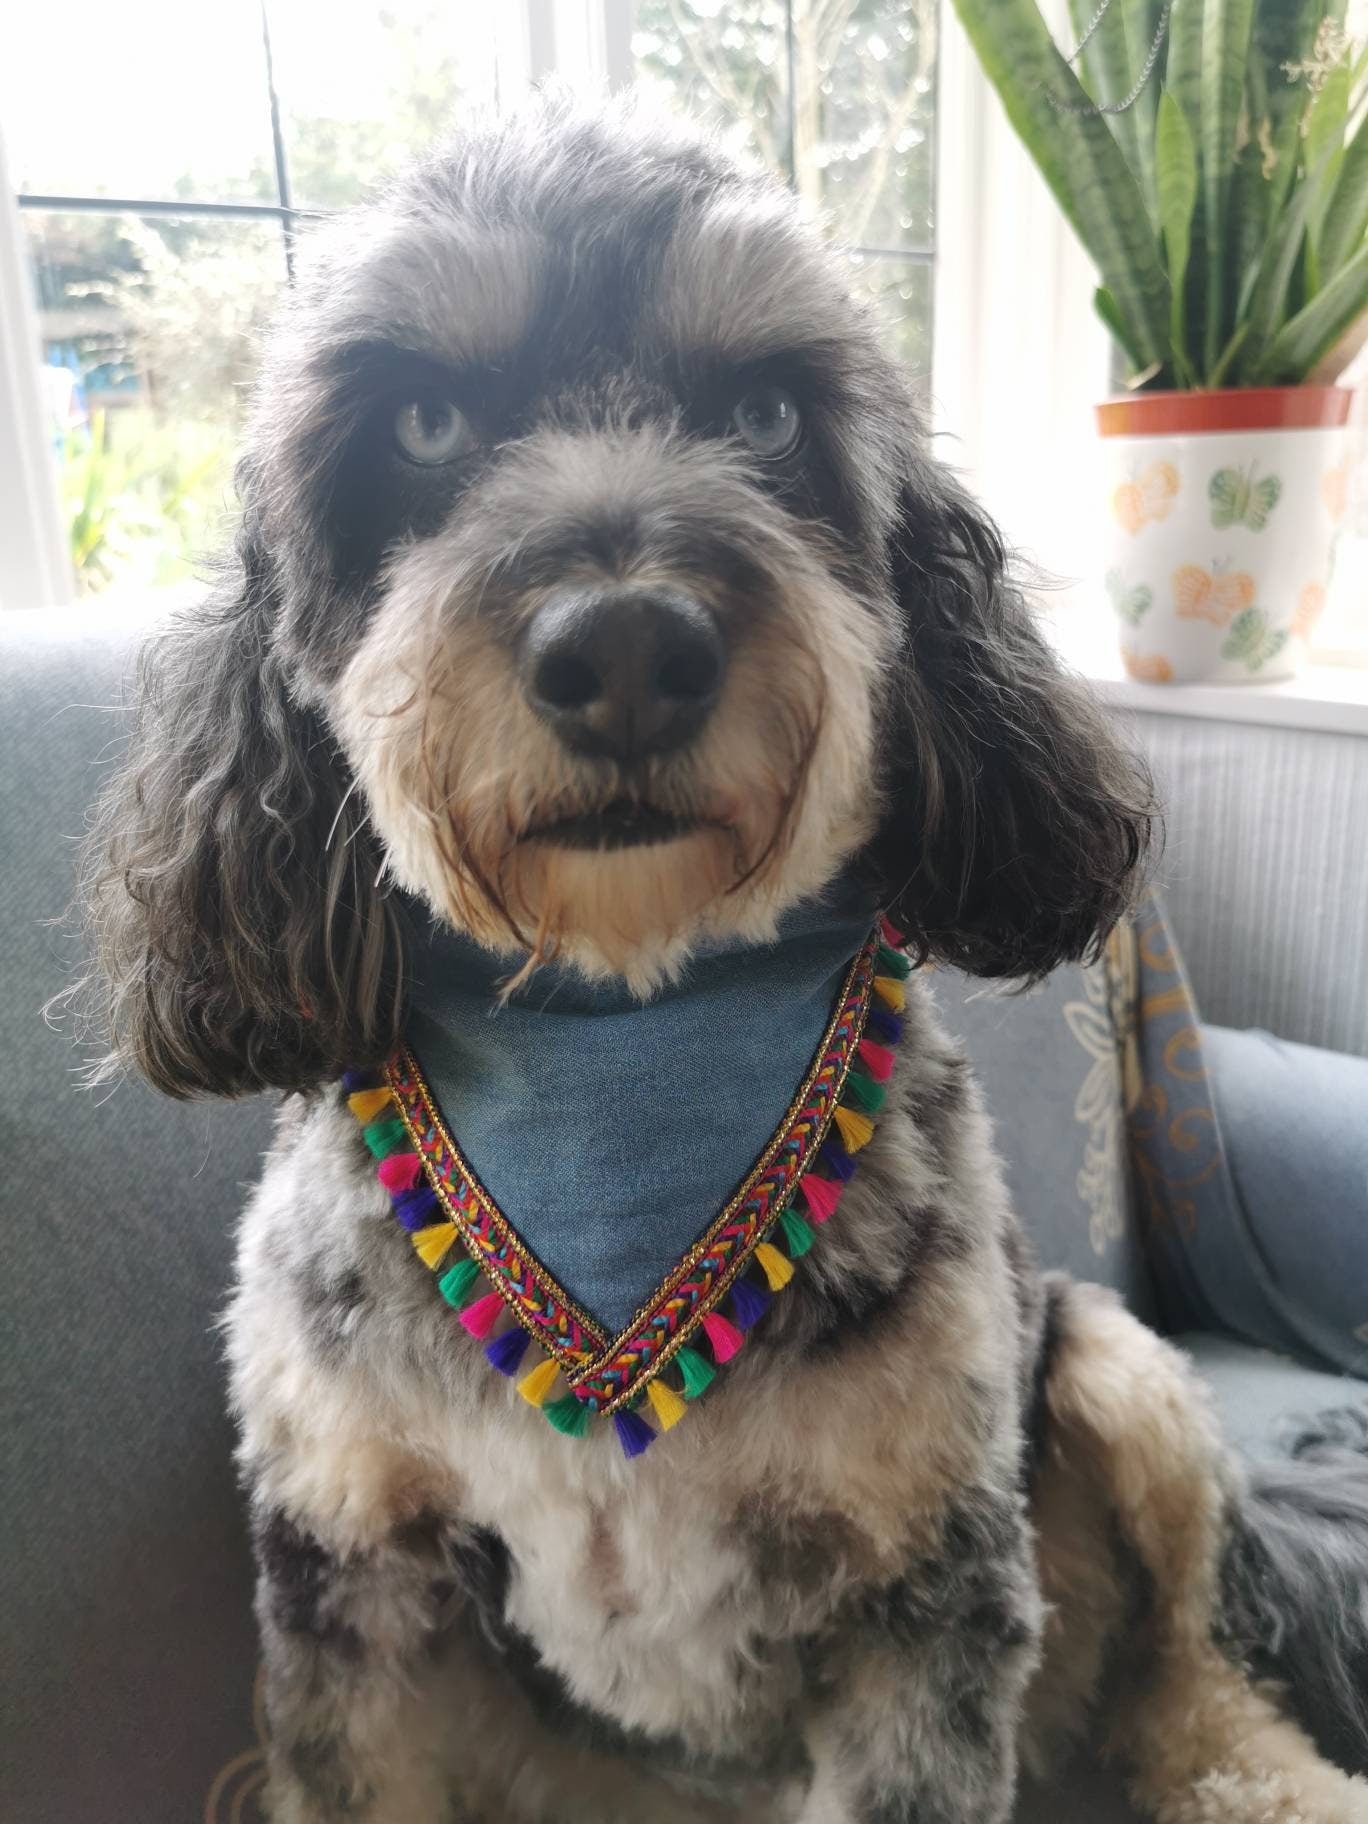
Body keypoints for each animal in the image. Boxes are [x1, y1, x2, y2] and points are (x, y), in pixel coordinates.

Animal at [72, 99, 1368, 1824]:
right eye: (422, 422)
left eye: (765, 414)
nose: (626, 647)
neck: (627, 1041)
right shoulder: (354, 1582)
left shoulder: (930, 1591)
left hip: (1114, 1363)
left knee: (1183, 1673)